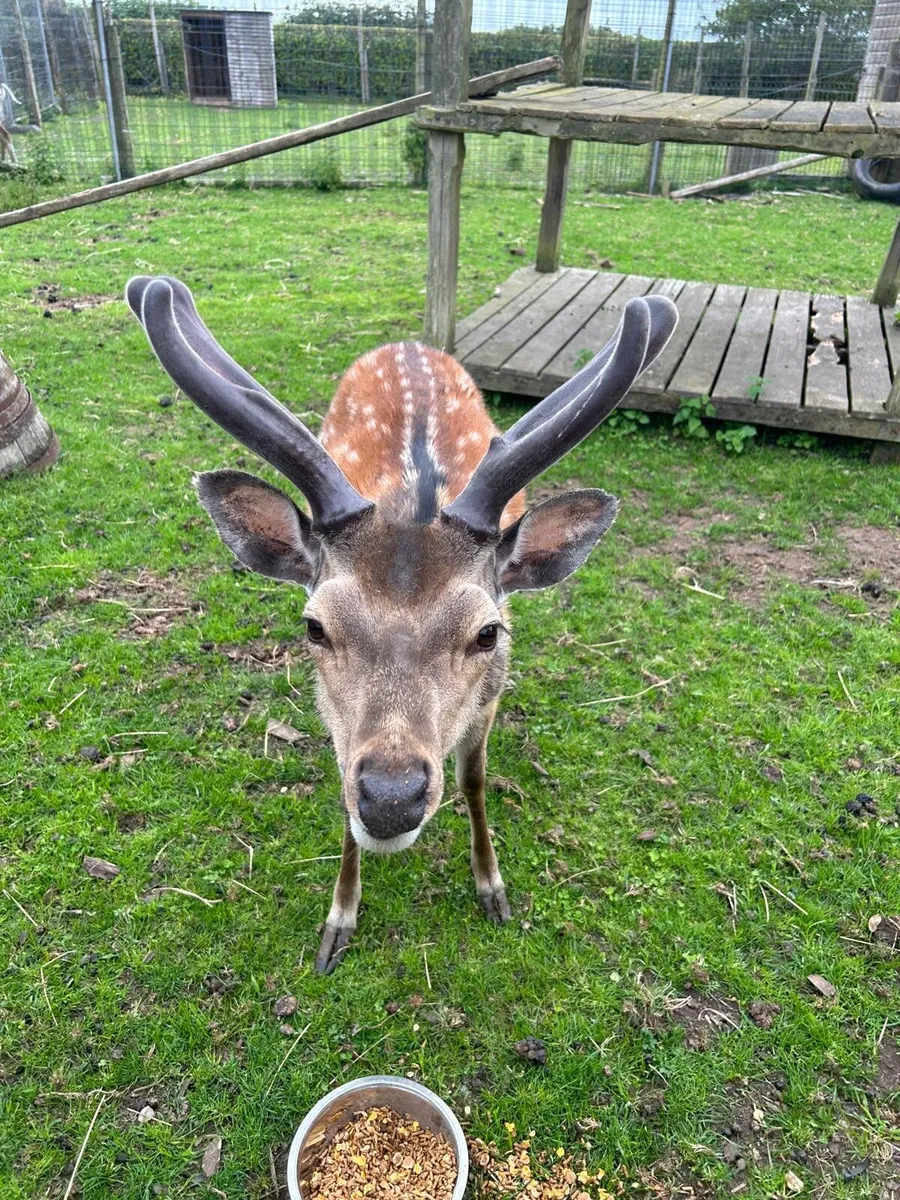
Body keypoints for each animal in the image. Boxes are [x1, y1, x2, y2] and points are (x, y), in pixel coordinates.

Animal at [126, 275, 677, 973]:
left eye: (488, 632)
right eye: (314, 627)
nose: (391, 799)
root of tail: (411, 343)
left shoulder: (491, 691)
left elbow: (473, 778)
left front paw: (491, 886)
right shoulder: (332, 712)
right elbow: (340, 789)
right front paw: (338, 920)